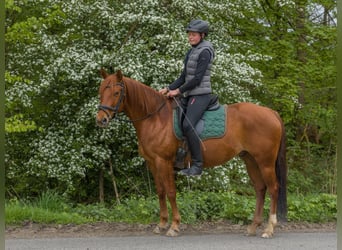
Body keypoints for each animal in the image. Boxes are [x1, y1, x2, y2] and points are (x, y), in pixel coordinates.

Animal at [95, 69, 286, 237]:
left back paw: (269, 228)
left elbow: (171, 192)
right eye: (100, 91)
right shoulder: (153, 163)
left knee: (273, 189)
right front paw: (162, 224)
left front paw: (174, 226)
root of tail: (271, 112)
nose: (101, 120)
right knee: (260, 189)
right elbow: (160, 192)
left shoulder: (164, 161)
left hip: (265, 162)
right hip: (250, 159)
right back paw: (253, 227)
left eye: (117, 92)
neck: (156, 118)